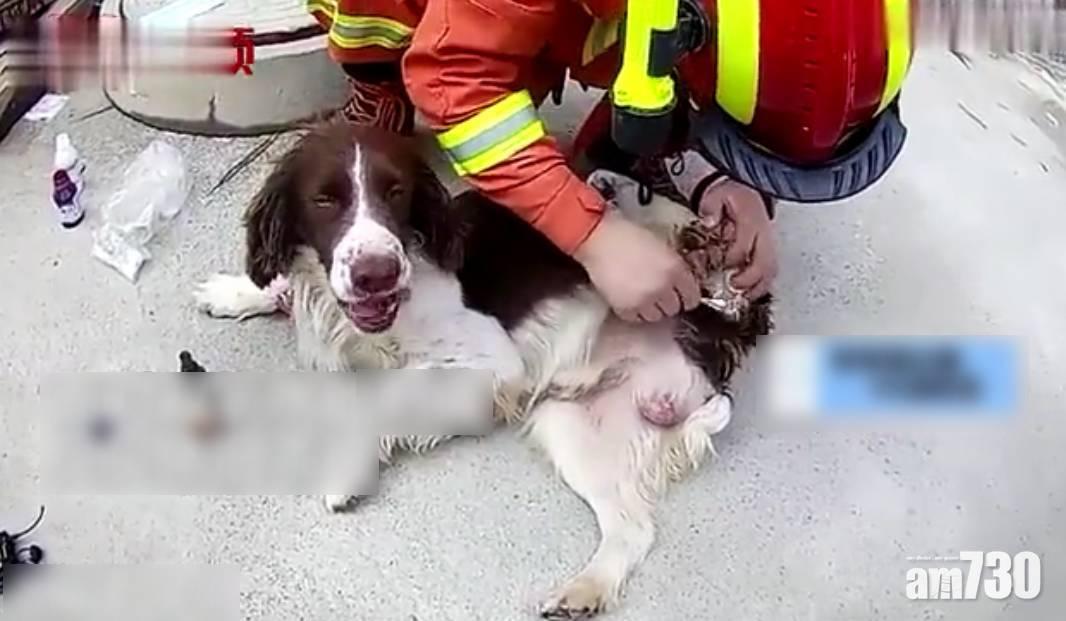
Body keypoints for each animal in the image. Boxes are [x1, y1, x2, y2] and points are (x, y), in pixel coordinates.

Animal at [194, 119, 772, 618]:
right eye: (324, 199)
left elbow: (384, 395)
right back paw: (583, 592)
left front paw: (349, 466)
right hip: (574, 425)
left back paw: (674, 227)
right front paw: (236, 292)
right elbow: (284, 288)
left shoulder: (490, 362)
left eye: (396, 192)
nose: (376, 274)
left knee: (706, 260)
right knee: (631, 529)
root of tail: (713, 333)